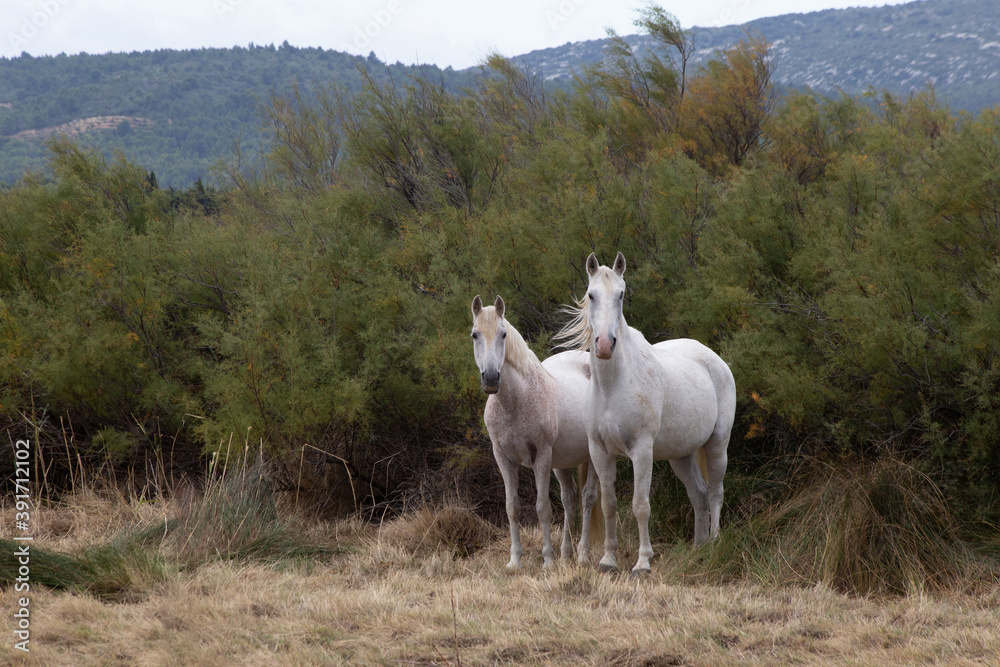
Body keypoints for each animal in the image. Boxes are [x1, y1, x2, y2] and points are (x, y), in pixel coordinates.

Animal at [471, 294, 600, 569]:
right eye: (475, 334)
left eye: (504, 334)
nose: (491, 378)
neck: (515, 402)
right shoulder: (504, 458)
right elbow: (512, 507)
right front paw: (514, 561)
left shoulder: (541, 456)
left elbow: (543, 508)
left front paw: (547, 561)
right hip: (562, 462)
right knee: (569, 498)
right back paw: (566, 552)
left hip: (593, 456)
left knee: (588, 498)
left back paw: (582, 555)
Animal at [556, 253, 736, 575]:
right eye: (591, 295)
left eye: (621, 294)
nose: (605, 344)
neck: (612, 386)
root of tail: (714, 359)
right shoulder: (600, 452)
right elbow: (609, 504)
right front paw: (608, 560)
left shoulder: (641, 451)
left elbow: (640, 505)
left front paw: (643, 562)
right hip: (681, 455)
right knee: (699, 494)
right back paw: (698, 547)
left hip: (717, 443)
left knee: (715, 492)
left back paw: (714, 544)